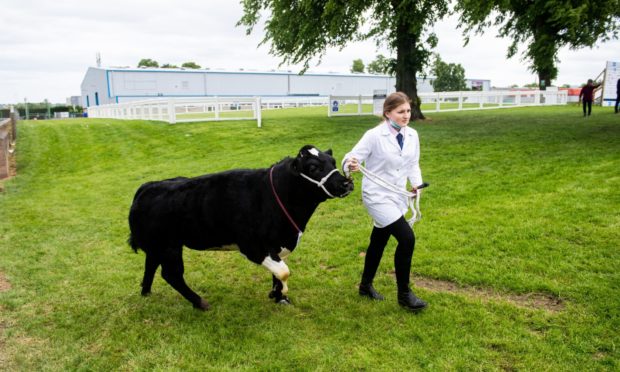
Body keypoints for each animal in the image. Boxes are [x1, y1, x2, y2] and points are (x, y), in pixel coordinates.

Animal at [128, 145, 352, 310]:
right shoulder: (253, 246)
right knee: (172, 275)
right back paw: (200, 303)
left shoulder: (278, 244)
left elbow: (278, 272)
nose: (346, 183)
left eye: (332, 162)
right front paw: (281, 292)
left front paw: (279, 296)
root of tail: (148, 187)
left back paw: (146, 292)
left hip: (158, 246)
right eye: (313, 167)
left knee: (151, 265)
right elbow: (284, 272)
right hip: (169, 247)